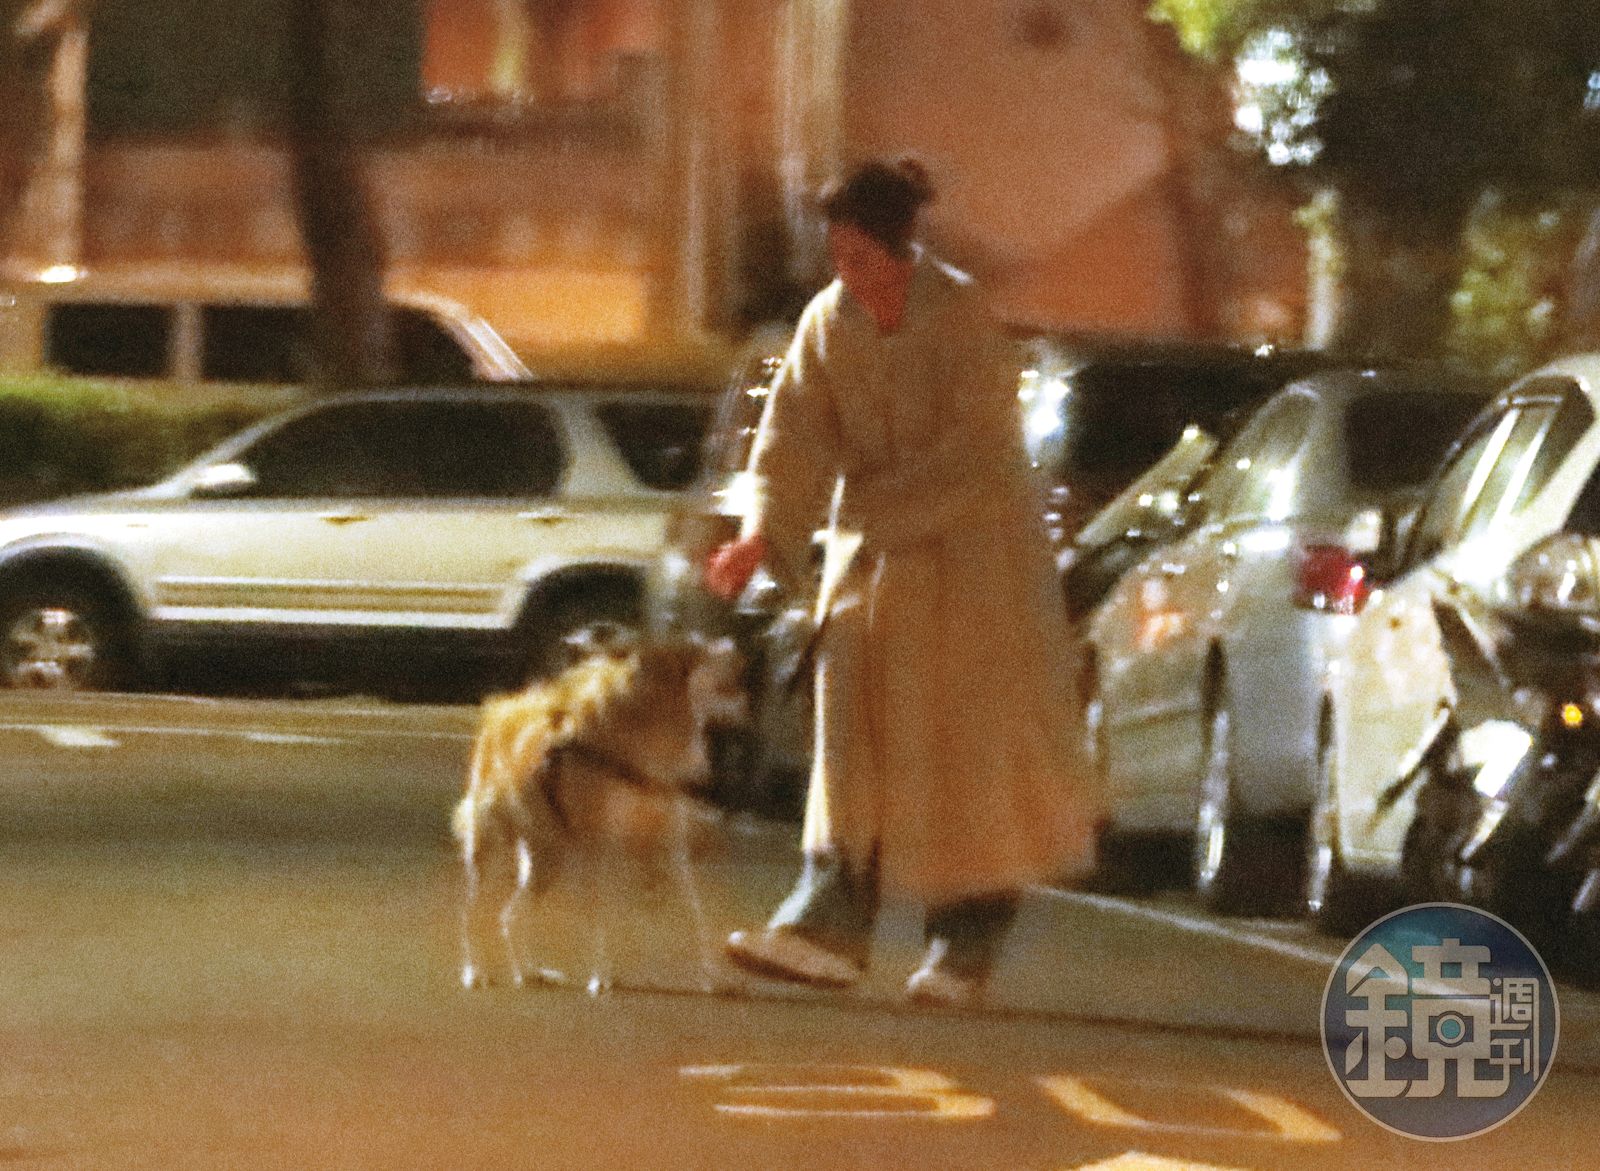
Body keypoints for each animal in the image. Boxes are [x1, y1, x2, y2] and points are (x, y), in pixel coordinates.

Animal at [457, 630, 742, 998]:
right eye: (695, 648)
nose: (733, 643)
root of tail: (500, 709)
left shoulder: (668, 846)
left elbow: (693, 913)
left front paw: (712, 977)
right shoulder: (598, 843)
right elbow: (600, 913)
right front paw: (601, 976)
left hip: (548, 858)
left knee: (510, 917)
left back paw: (529, 972)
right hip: (491, 852)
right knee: (472, 914)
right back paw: (474, 972)